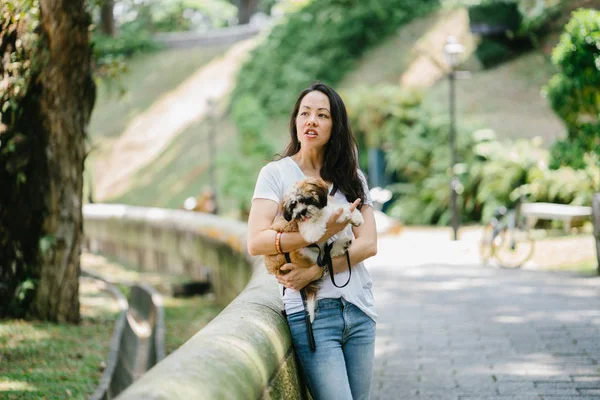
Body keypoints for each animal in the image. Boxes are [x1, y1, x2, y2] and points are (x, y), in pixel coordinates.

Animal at [264, 178, 364, 322]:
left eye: (307, 200)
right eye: (293, 205)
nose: (301, 212)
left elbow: (334, 208)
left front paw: (354, 216)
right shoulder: (310, 231)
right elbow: (326, 218)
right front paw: (342, 215)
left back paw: (342, 244)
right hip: (299, 253)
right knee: (322, 259)